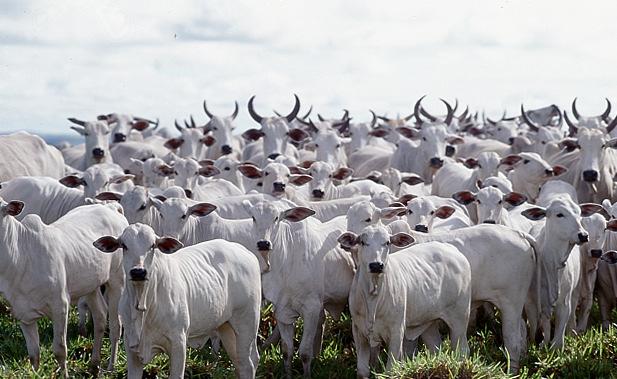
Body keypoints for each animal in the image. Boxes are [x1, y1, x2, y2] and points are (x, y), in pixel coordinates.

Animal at [93, 224, 260, 378]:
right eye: (124, 245)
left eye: (152, 246)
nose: (138, 272)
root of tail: (244, 251)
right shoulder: (131, 348)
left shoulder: (178, 344)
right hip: (227, 327)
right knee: (240, 363)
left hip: (247, 323)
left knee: (248, 364)